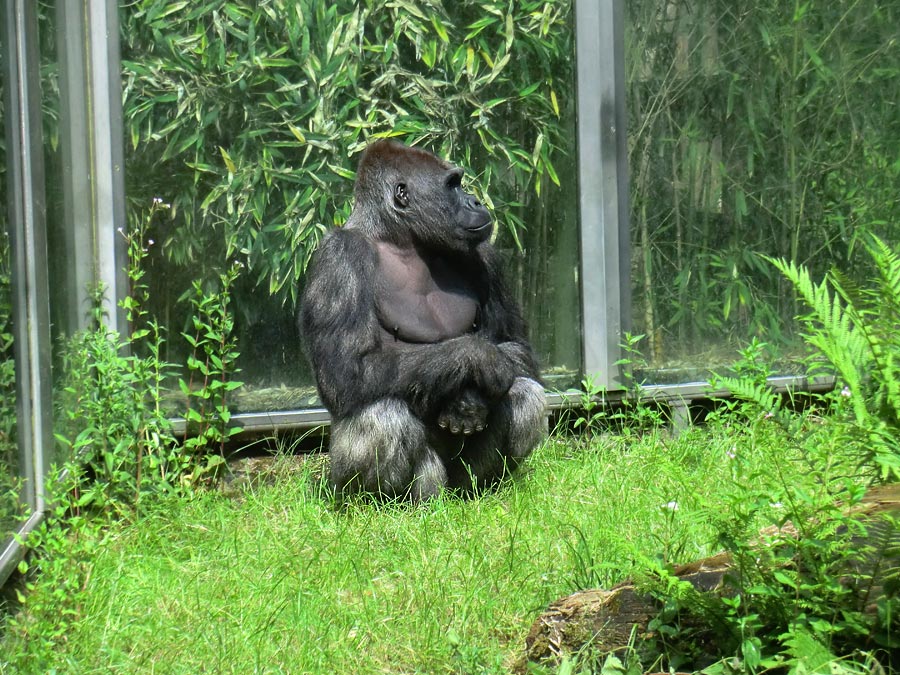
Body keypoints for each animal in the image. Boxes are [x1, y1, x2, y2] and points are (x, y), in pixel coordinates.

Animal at [298, 139, 544, 502]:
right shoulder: (338, 257)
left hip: (458, 484)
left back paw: (482, 489)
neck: (401, 239)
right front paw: (477, 357)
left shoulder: (486, 254)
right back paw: (379, 504)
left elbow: (515, 347)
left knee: (525, 393)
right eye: (452, 185)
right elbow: (346, 371)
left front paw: (471, 396)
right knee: (383, 414)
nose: (475, 200)